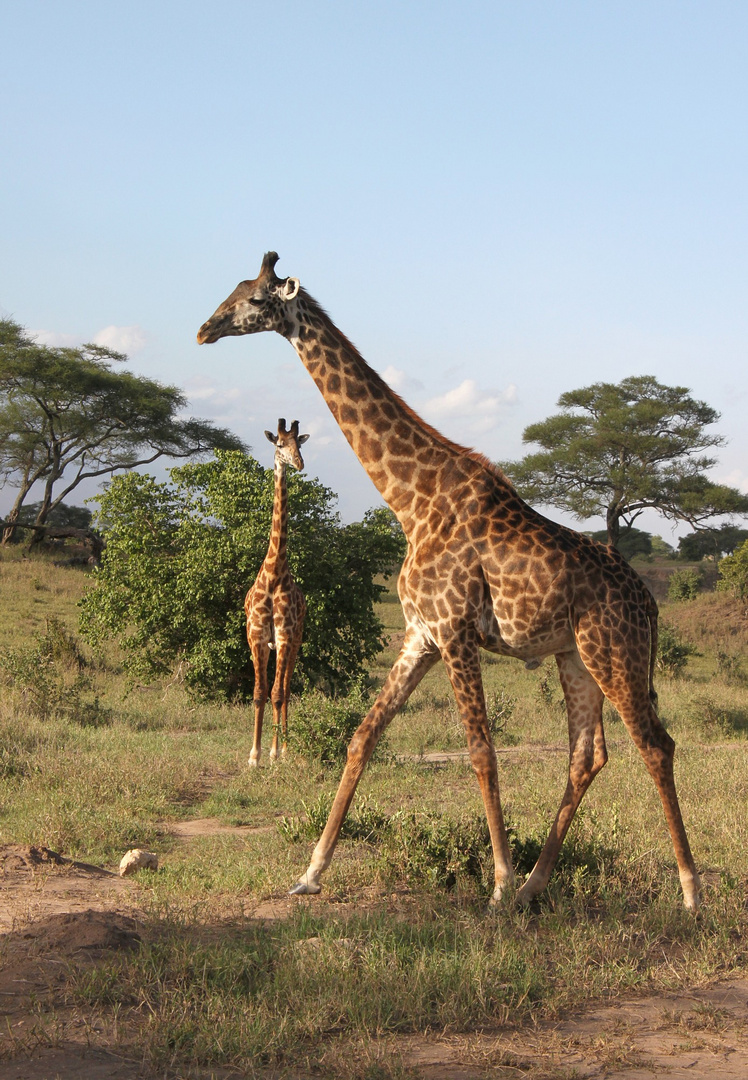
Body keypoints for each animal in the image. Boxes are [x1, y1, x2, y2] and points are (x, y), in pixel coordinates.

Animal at [198, 252, 699, 911]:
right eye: (232, 289)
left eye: (255, 300)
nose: (203, 331)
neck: (411, 500)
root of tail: (651, 604)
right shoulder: (422, 635)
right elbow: (362, 737)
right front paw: (310, 872)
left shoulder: (457, 631)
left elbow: (482, 753)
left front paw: (498, 884)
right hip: (575, 657)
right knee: (586, 757)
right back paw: (537, 884)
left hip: (615, 652)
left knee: (655, 746)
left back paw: (688, 892)